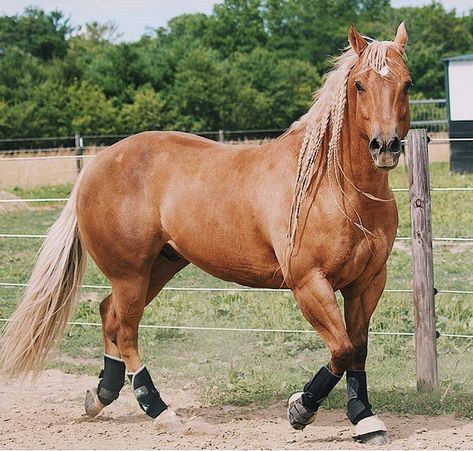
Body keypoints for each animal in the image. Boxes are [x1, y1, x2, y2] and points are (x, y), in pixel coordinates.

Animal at [0, 23, 410, 444]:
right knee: (126, 330)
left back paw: (101, 395)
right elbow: (341, 349)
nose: (385, 146)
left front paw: (365, 419)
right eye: (359, 85)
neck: (335, 188)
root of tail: (94, 166)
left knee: (108, 315)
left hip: (159, 267)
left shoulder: (367, 283)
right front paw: (301, 408)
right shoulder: (309, 283)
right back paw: (160, 411)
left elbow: (357, 349)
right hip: (130, 274)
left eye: (407, 84)